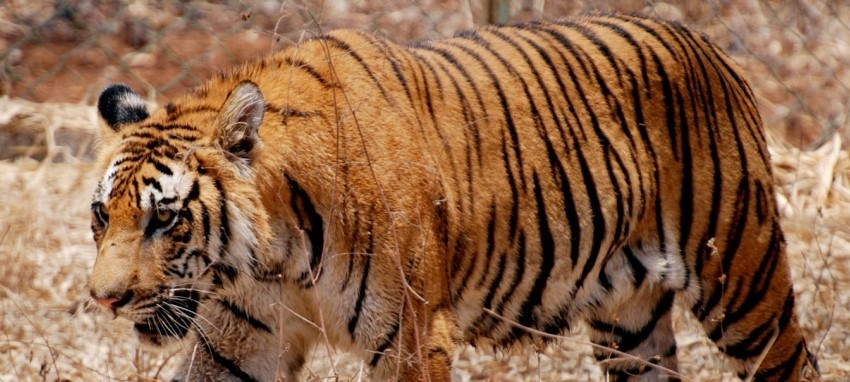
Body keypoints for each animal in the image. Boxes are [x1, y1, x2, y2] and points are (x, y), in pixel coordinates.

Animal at [88, 11, 816, 382]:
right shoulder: (234, 344)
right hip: (629, 321)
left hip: (742, 281)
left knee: (791, 361)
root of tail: (704, 43)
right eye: (102, 215)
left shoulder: (411, 337)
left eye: (165, 219)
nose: (104, 299)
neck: (275, 256)